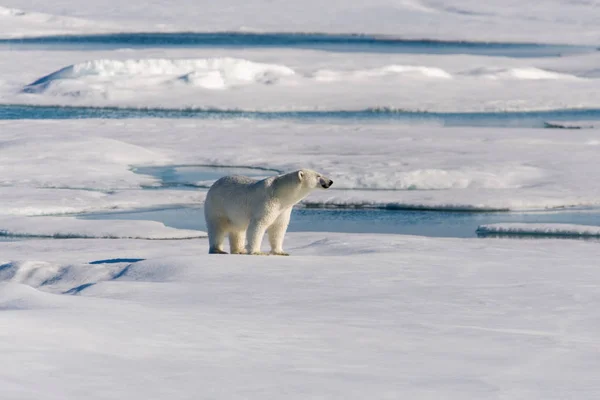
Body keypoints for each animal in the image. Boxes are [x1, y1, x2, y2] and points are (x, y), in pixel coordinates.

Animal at [203, 169, 332, 256]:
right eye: (318, 175)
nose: (330, 181)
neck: (280, 193)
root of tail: (215, 183)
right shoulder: (267, 203)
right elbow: (258, 225)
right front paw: (257, 252)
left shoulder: (283, 209)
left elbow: (278, 228)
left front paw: (281, 252)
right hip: (217, 206)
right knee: (218, 227)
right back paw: (218, 250)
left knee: (237, 230)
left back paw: (240, 250)